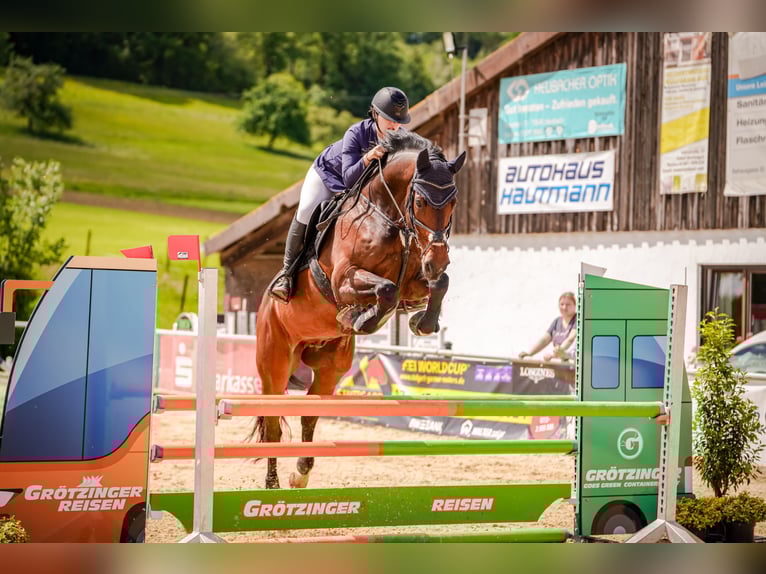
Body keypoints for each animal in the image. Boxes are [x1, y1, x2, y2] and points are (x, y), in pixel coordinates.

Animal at [252, 130, 466, 489]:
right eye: (420, 202)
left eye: (452, 202)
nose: (437, 259)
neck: (386, 216)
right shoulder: (343, 280)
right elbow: (386, 290)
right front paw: (361, 318)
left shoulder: (415, 281)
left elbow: (438, 284)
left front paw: (422, 322)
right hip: (275, 361)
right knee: (272, 425)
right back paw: (273, 485)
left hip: (330, 367)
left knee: (310, 412)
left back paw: (300, 473)